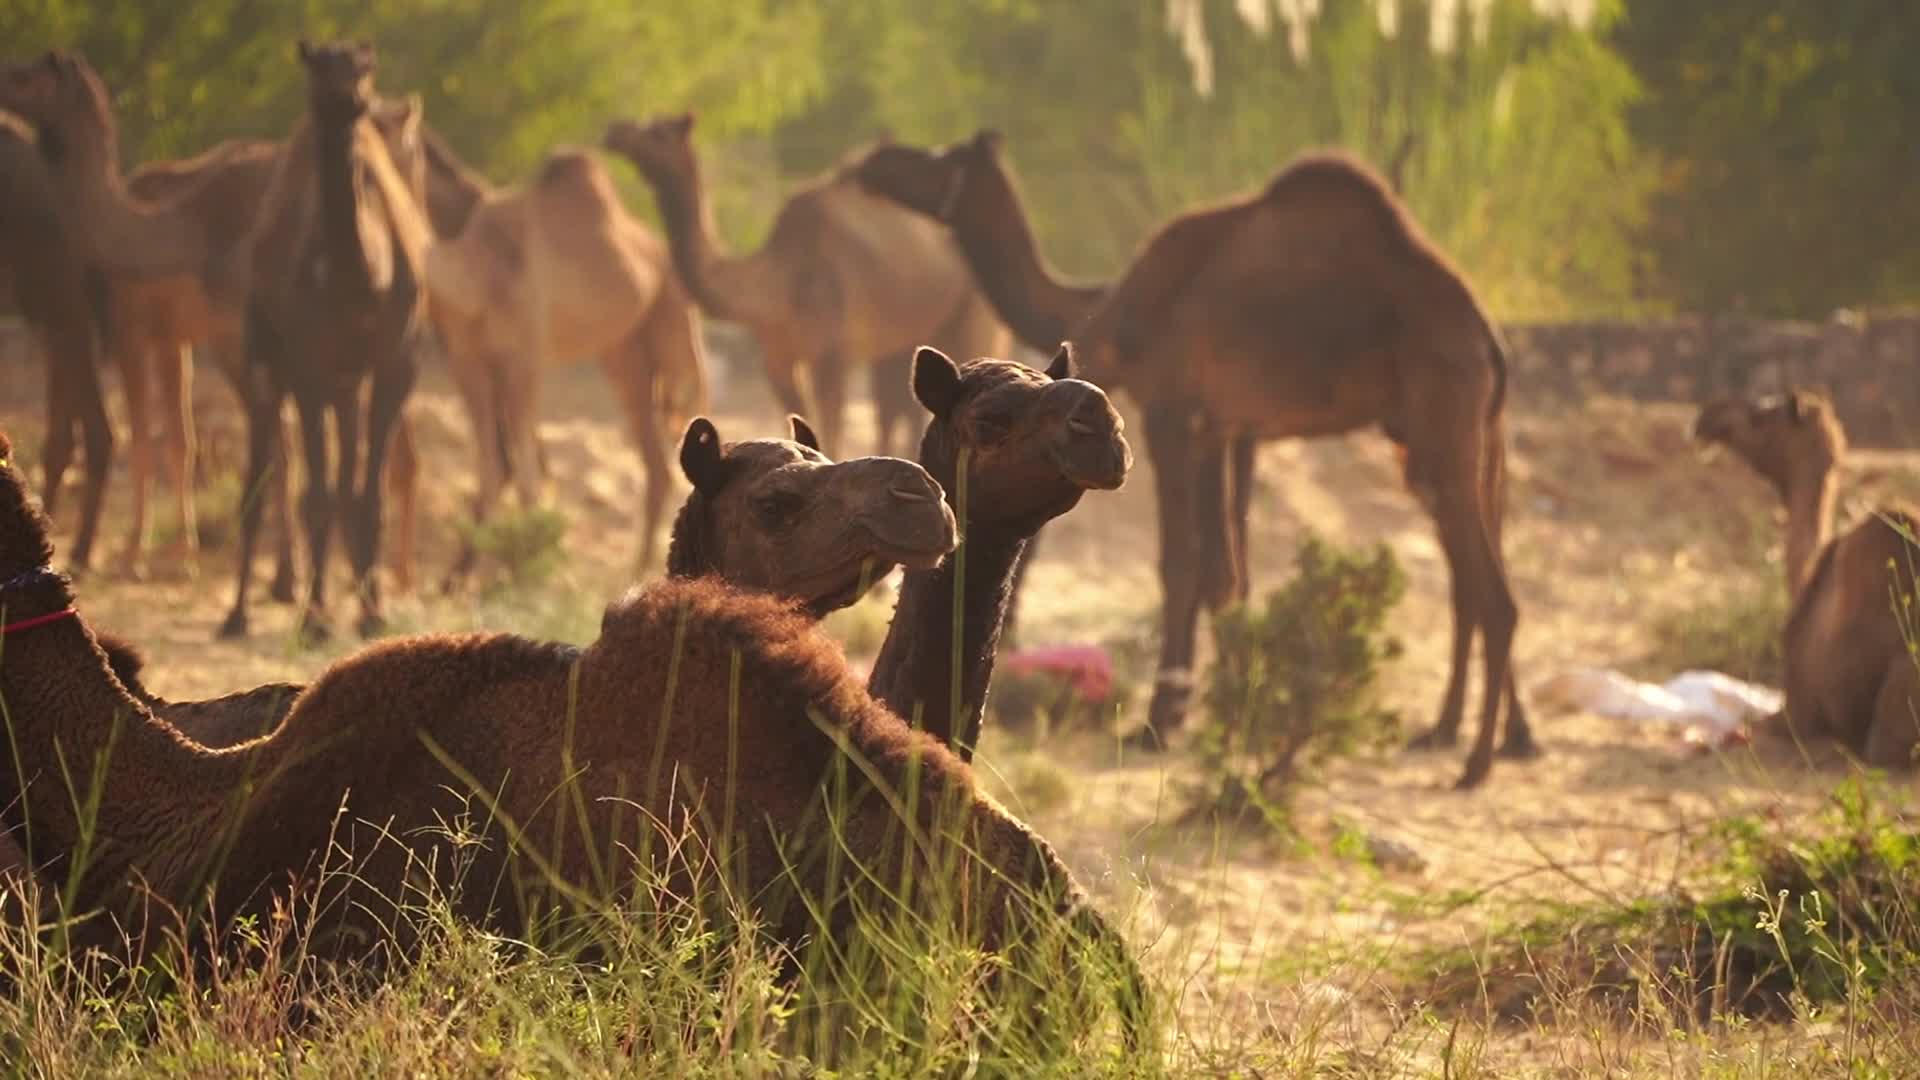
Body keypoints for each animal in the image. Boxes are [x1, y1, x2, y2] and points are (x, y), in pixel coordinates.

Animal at [218, 41, 432, 642]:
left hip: (346, 381)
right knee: (261, 475)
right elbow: (317, 495)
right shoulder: (310, 366)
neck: (357, 279)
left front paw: (373, 614)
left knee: (342, 480)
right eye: (315, 68)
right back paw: (237, 615)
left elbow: (368, 496)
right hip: (264, 360)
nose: (345, 101)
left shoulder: (395, 364)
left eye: (364, 68)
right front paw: (315, 618)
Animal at [419, 128, 709, 583]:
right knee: (656, 463)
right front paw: (456, 578)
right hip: (622, 353)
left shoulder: (524, 358)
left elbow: (523, 471)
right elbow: (493, 463)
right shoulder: (467, 360)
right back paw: (638, 572)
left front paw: (530, 571)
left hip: (672, 326)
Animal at [600, 113, 1010, 460]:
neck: (774, 281)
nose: (615, 131)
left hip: (973, 310)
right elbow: (800, 420)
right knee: (897, 407)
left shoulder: (832, 354)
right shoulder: (778, 359)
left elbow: (830, 426)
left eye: (659, 131)